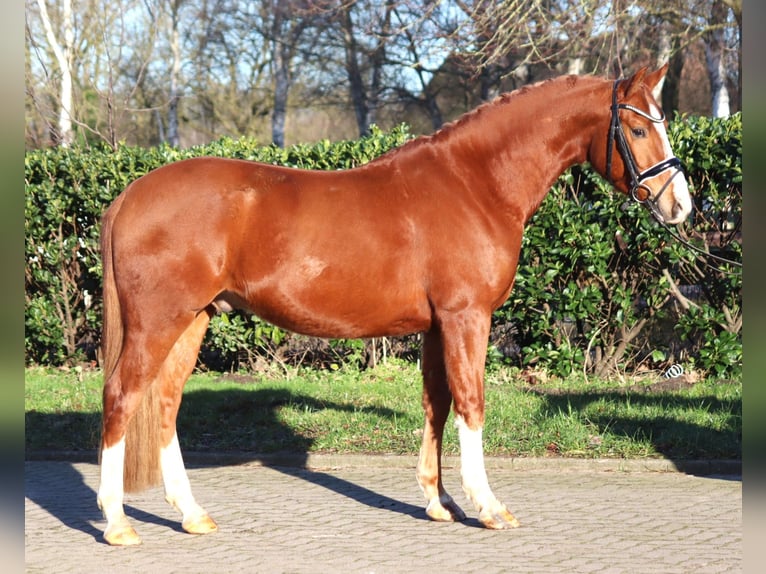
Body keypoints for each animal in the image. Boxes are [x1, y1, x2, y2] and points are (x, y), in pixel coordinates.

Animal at [99, 65, 692, 548]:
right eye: (638, 129)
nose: (680, 205)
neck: (475, 183)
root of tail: (130, 194)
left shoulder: (435, 327)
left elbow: (437, 404)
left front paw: (440, 502)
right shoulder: (466, 317)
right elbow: (471, 403)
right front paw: (489, 506)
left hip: (192, 321)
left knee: (166, 403)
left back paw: (192, 514)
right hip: (159, 323)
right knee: (123, 397)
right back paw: (118, 523)